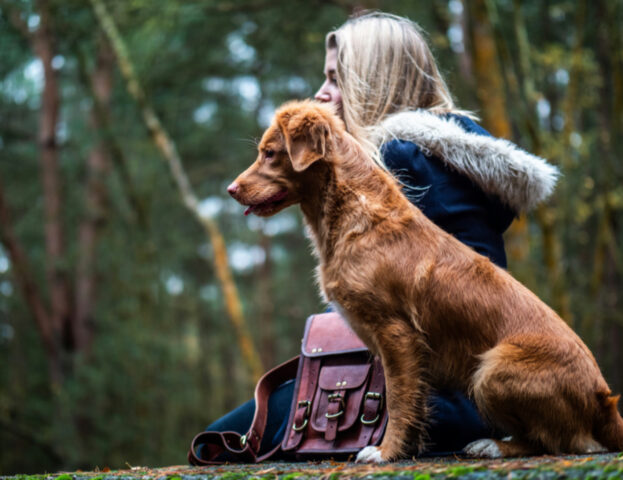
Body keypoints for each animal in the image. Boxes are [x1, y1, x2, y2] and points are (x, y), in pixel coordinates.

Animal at [228, 100, 623, 462]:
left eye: (270, 153)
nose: (231, 189)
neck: (352, 213)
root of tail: (604, 400)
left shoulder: (396, 333)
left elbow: (398, 400)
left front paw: (383, 452)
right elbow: (413, 403)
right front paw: (407, 449)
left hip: (490, 370)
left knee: (555, 441)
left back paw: (493, 445)